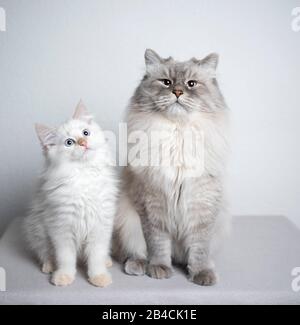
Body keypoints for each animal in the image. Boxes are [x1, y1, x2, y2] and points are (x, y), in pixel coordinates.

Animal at [23, 101, 117, 286]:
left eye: (85, 133)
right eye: (69, 142)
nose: (83, 142)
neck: (84, 175)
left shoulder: (100, 227)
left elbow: (96, 257)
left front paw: (99, 277)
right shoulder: (61, 228)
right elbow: (65, 258)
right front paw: (63, 276)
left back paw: (107, 261)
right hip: (37, 231)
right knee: (45, 254)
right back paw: (49, 267)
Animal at [113, 49, 231, 284]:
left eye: (191, 84)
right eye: (166, 82)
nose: (177, 91)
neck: (179, 134)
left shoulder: (201, 208)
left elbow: (199, 249)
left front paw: (201, 274)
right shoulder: (153, 205)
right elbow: (158, 245)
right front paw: (159, 269)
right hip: (126, 220)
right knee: (132, 252)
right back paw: (138, 266)